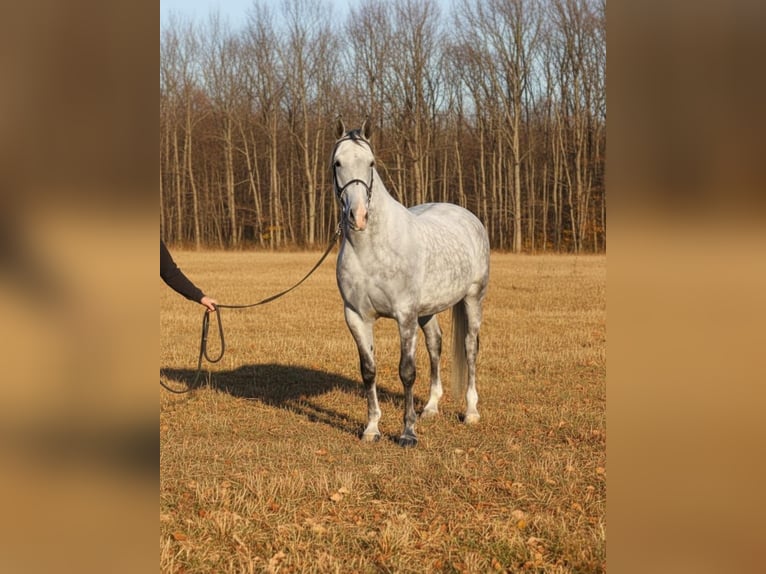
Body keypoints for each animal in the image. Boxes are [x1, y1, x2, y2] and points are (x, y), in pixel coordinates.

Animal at [332, 117, 490, 447]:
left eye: (371, 163)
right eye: (337, 163)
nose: (358, 216)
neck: (371, 248)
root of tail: (467, 216)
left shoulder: (404, 316)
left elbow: (406, 372)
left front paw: (407, 432)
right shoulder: (356, 316)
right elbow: (369, 371)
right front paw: (372, 428)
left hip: (473, 299)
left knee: (470, 348)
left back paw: (470, 412)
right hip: (427, 311)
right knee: (435, 345)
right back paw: (430, 407)